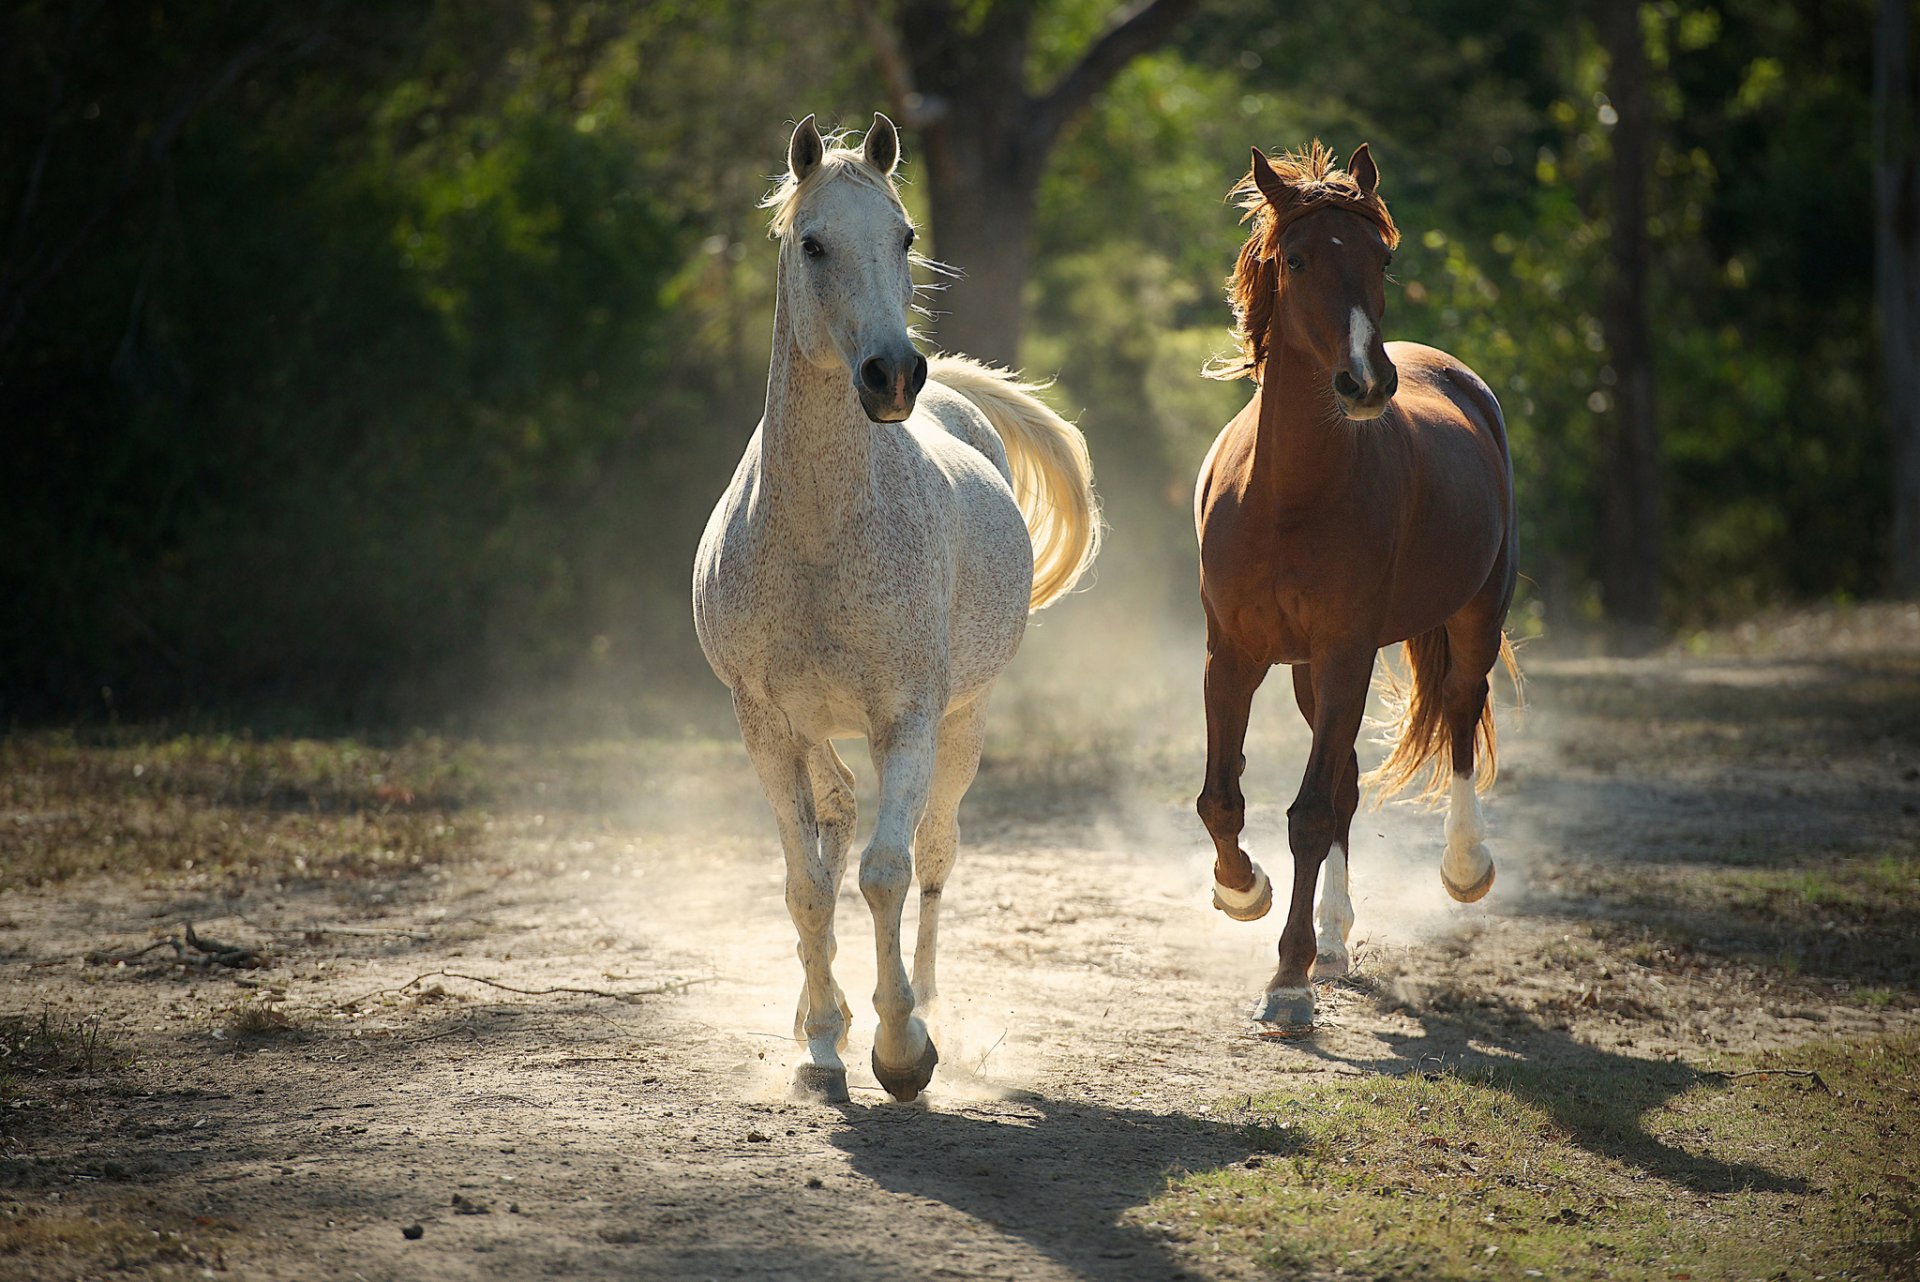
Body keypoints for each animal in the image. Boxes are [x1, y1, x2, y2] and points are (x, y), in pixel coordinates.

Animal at [693, 114, 1101, 1103]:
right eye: (812, 243)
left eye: (905, 236)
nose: (891, 376)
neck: (818, 535)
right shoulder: (764, 723)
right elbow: (806, 884)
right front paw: (822, 1044)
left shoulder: (907, 720)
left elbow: (887, 871)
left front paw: (902, 1048)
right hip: (812, 729)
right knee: (835, 820)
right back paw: (820, 1020)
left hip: (965, 723)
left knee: (935, 856)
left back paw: (929, 1010)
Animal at [1192, 142, 1520, 1029]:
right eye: (1296, 259)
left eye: (1383, 258)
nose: (1367, 382)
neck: (1289, 496)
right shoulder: (1234, 656)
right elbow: (1223, 800)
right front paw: (1244, 891)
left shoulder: (1346, 651)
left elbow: (1306, 814)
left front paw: (1287, 978)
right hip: (1308, 671)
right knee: (1343, 783)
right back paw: (1335, 941)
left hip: (1474, 613)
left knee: (1461, 710)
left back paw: (1465, 866)